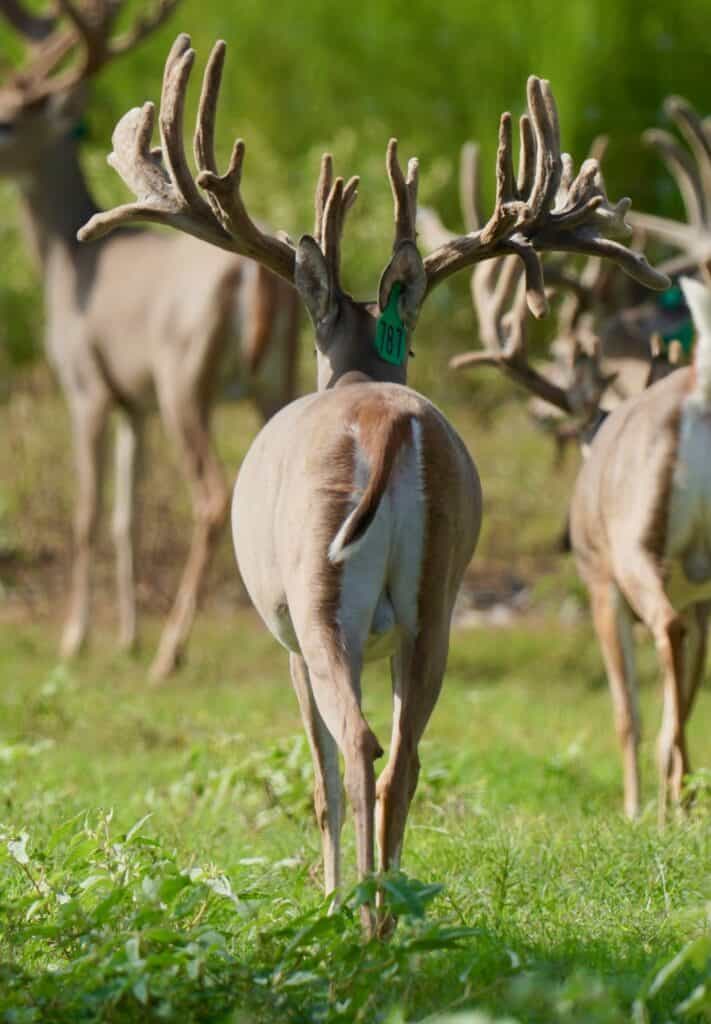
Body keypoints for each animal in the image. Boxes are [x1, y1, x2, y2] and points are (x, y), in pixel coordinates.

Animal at [0, 1, 301, 681]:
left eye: (6, 119)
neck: (68, 265)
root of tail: (252, 273)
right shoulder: (130, 403)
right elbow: (124, 517)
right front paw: (124, 637)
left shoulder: (85, 384)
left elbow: (87, 513)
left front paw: (77, 638)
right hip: (275, 379)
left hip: (182, 378)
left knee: (213, 495)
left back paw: (171, 653)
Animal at [78, 34, 667, 932]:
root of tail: (388, 422)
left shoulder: (284, 629)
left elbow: (318, 776)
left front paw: (321, 894)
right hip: (435, 600)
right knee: (407, 756)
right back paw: (389, 910)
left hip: (321, 594)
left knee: (358, 747)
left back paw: (357, 917)